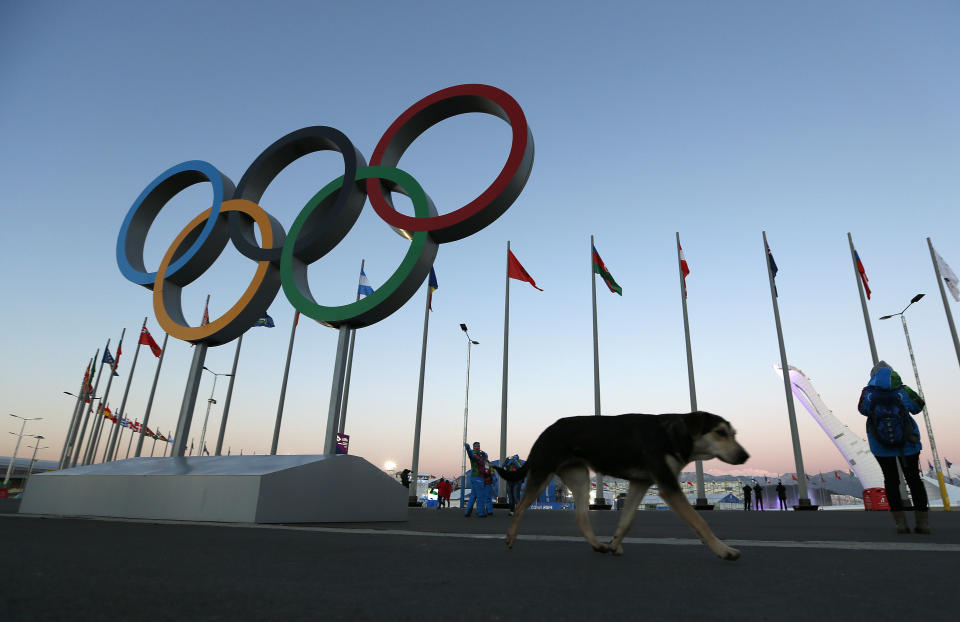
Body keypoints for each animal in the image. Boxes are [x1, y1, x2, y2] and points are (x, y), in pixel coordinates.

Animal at [502, 412, 752, 564]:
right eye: (720, 432)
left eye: (733, 434)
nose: (745, 456)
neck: (673, 434)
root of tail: (546, 430)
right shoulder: (668, 485)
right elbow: (700, 521)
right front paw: (724, 550)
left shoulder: (641, 482)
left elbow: (627, 520)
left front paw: (614, 544)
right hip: (543, 472)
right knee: (521, 507)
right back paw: (510, 538)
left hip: (580, 477)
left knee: (580, 516)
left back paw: (598, 545)